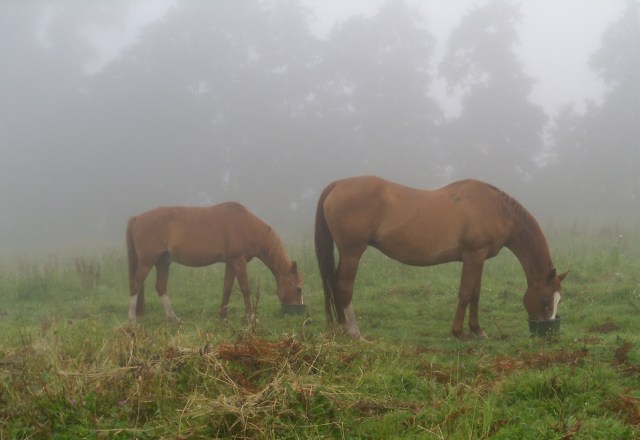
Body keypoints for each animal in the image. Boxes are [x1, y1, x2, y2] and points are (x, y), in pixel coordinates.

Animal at [126, 202, 303, 323]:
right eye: (298, 288)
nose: (297, 311)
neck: (245, 224)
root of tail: (137, 218)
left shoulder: (231, 263)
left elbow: (227, 288)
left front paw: (223, 316)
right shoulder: (238, 261)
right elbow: (245, 289)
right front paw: (250, 316)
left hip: (163, 262)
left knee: (161, 287)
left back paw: (173, 318)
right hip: (147, 262)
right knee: (135, 285)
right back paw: (132, 319)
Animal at [315, 176, 567, 340]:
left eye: (558, 300)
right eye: (545, 300)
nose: (547, 330)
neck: (495, 210)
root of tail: (337, 185)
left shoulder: (479, 258)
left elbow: (475, 294)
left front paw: (477, 330)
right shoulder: (473, 255)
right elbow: (465, 294)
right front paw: (459, 332)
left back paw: (343, 328)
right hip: (352, 252)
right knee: (344, 287)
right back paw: (355, 333)